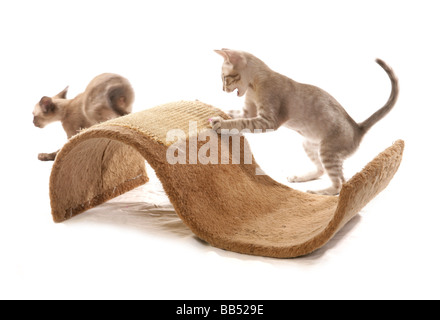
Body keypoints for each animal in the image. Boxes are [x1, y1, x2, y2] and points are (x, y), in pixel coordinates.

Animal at [210, 49, 398, 196]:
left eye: (224, 78)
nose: (222, 89)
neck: (254, 85)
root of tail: (358, 128)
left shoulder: (267, 121)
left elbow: (240, 122)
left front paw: (222, 124)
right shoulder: (249, 112)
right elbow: (234, 114)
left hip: (328, 151)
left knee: (340, 184)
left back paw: (319, 191)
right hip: (309, 144)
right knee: (325, 172)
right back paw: (300, 178)